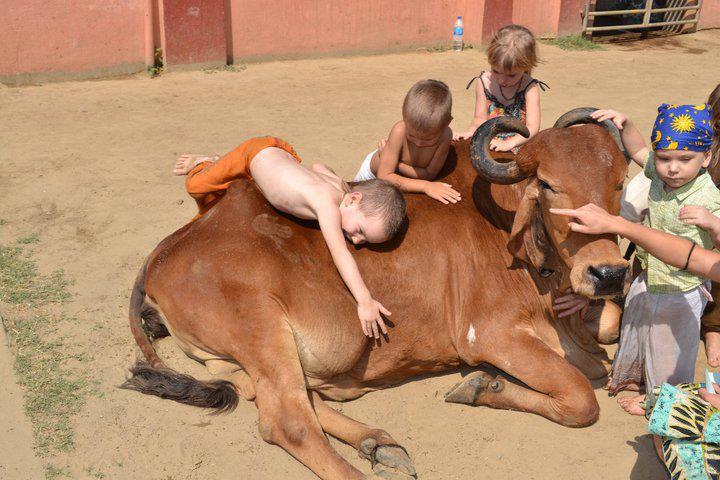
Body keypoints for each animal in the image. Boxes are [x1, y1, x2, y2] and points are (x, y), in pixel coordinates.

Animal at [124, 109, 632, 480]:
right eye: (547, 185)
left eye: (620, 183)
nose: (608, 272)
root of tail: (170, 248)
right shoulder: (489, 336)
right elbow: (581, 397)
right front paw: (481, 385)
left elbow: (609, 332)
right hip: (261, 326)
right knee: (287, 421)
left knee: (300, 401)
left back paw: (379, 442)